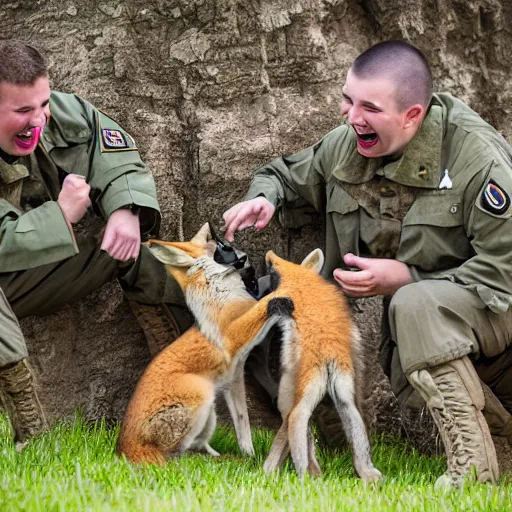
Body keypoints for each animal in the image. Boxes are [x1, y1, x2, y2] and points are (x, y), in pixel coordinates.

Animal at [116, 224, 292, 464]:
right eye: (222, 248)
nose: (245, 257)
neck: (223, 298)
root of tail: (123, 449)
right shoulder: (236, 331)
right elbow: (265, 303)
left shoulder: (233, 378)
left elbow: (243, 426)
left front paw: (250, 456)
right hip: (201, 392)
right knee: (176, 456)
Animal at [262, 250, 382, 482]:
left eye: (270, 269)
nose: (269, 254)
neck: (303, 281)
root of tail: (328, 353)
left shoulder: (287, 390)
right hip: (344, 396)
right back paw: (366, 474)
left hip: (302, 398)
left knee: (296, 422)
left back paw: (299, 478)